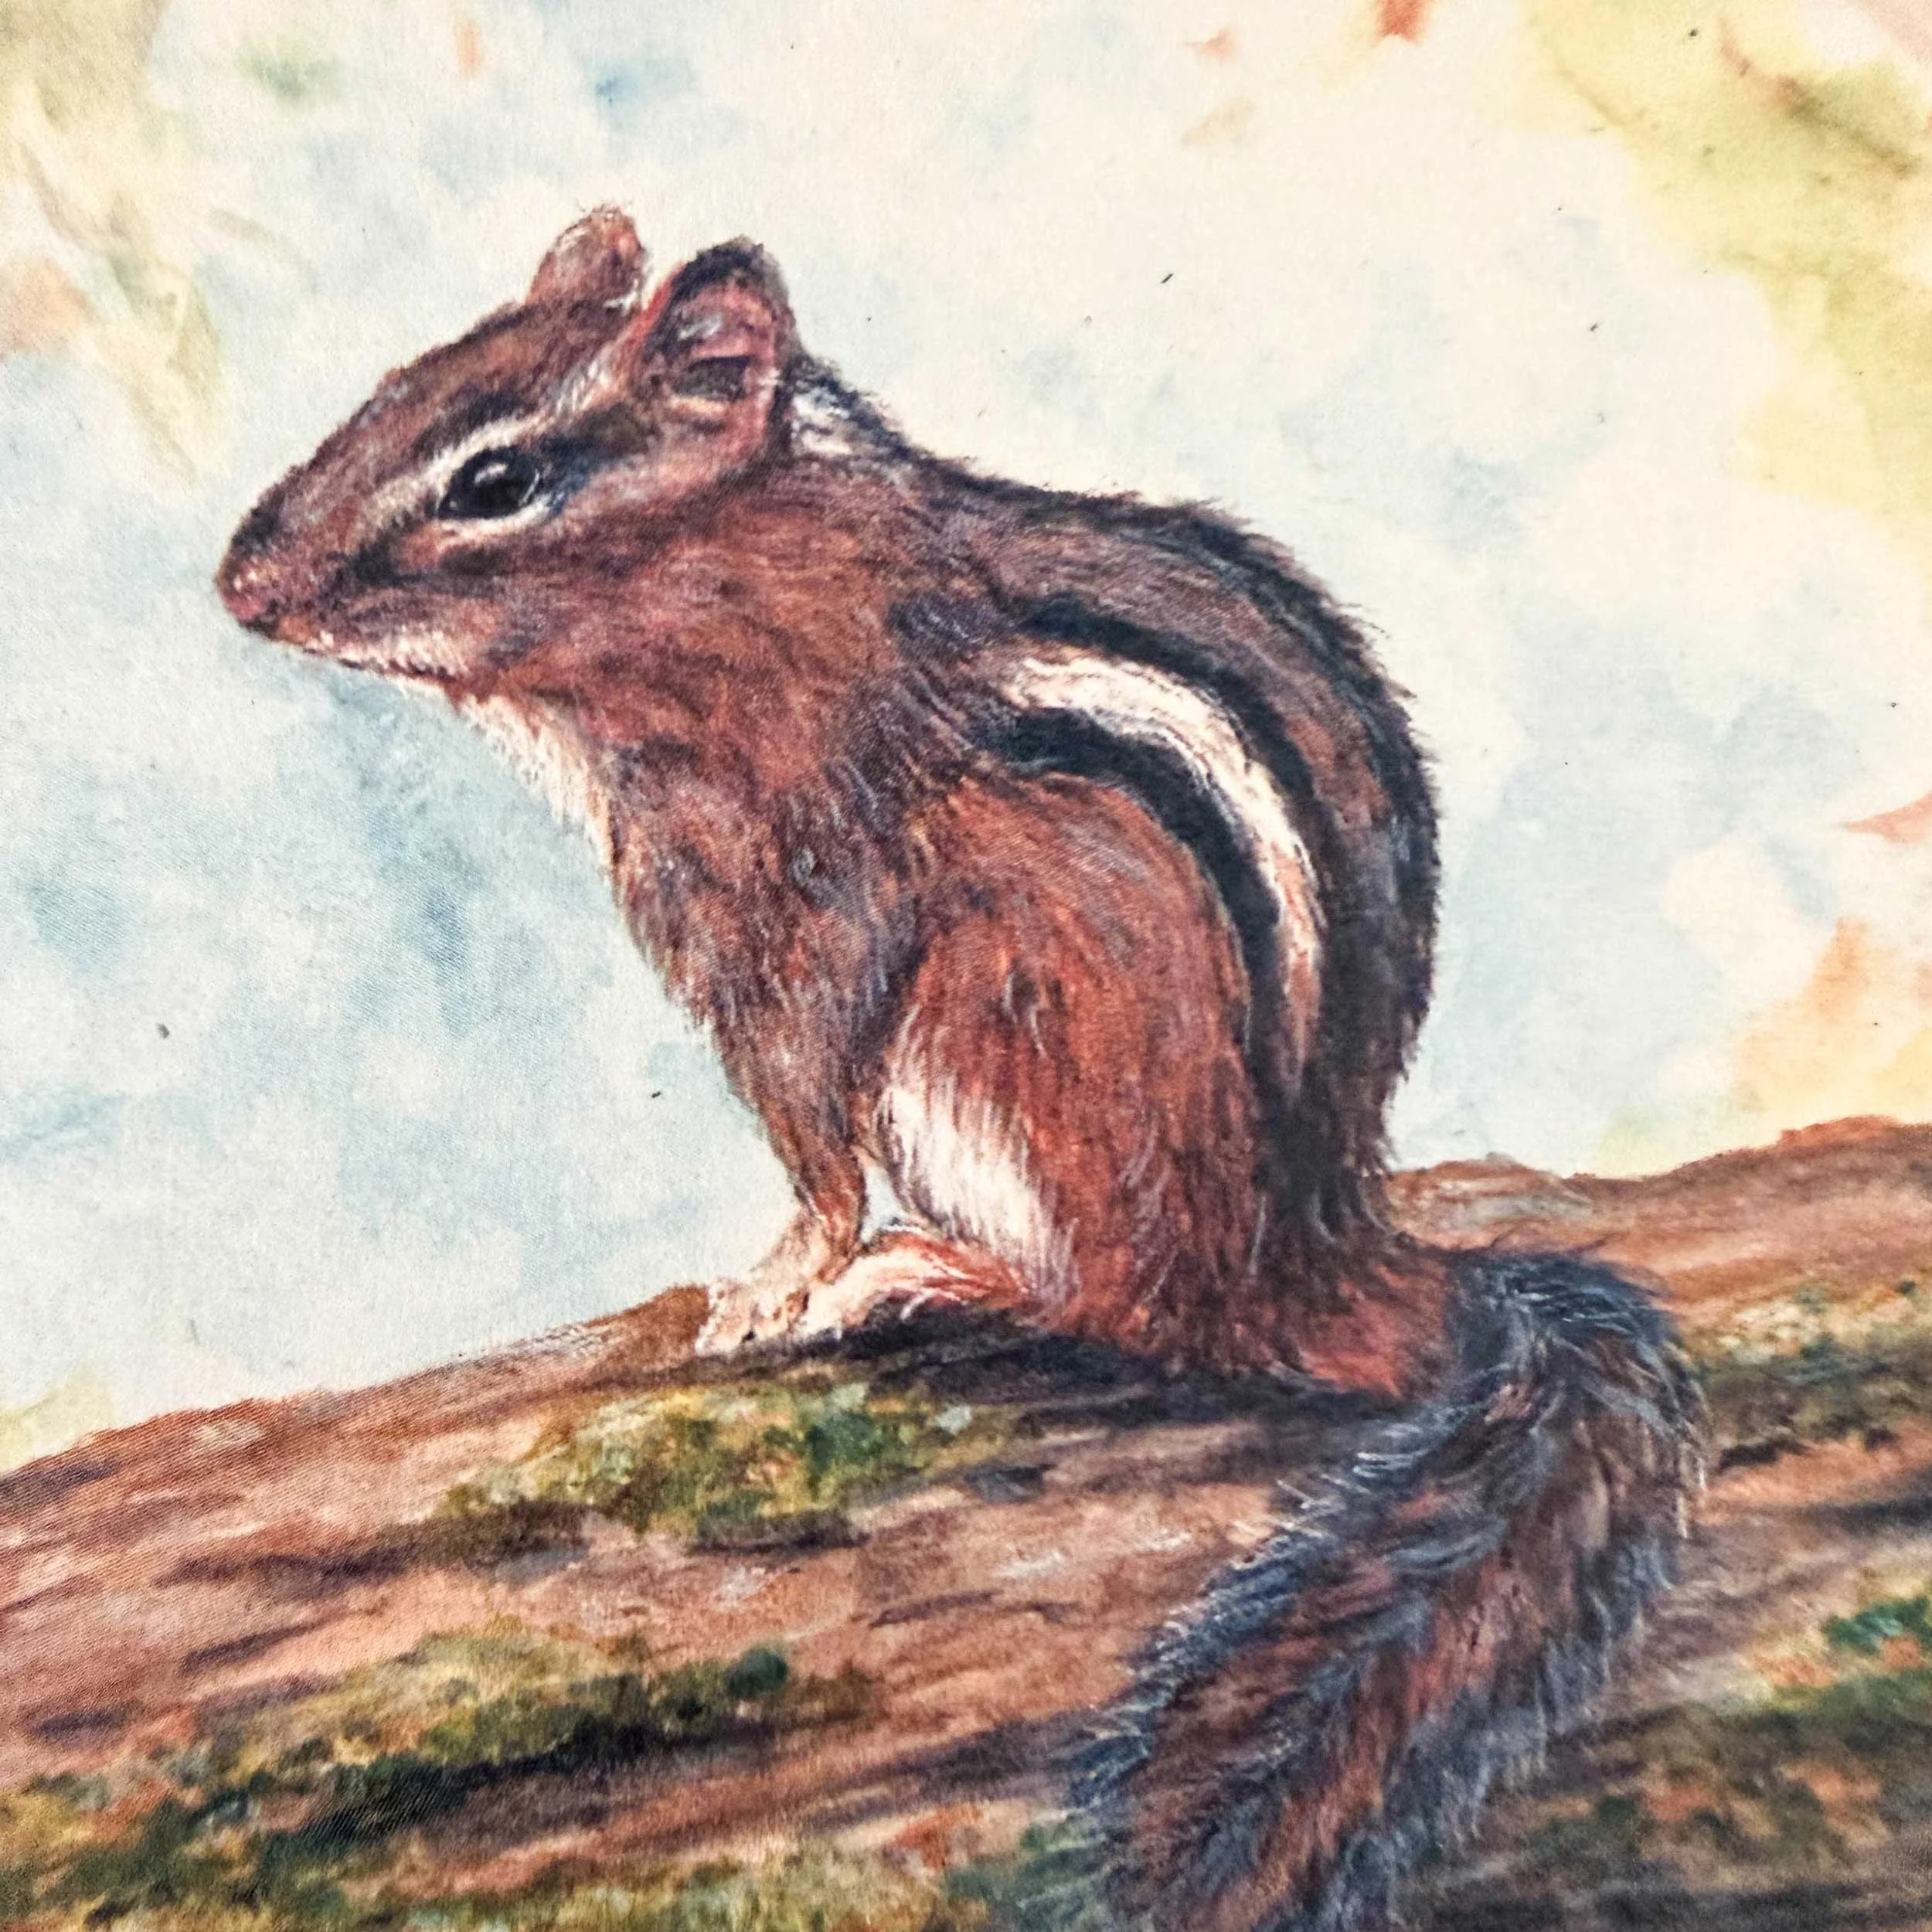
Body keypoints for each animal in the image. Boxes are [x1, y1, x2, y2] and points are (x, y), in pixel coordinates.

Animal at [216, 208, 1702, 1932]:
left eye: (494, 479)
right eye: (392, 389)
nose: (240, 583)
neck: (756, 572)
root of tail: (1316, 1248)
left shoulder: (784, 895)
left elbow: (805, 1120)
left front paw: (778, 1281)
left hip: (1001, 1058)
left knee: (1126, 1307)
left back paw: (924, 1275)